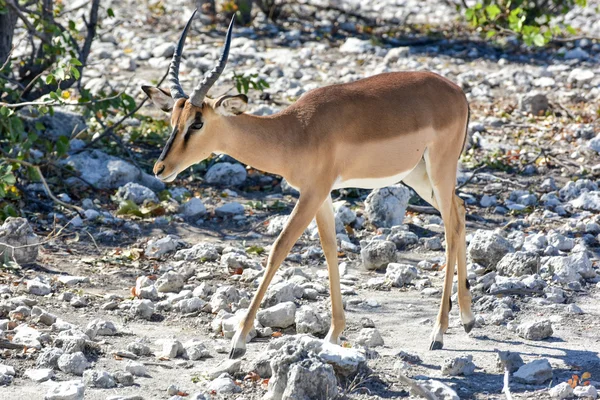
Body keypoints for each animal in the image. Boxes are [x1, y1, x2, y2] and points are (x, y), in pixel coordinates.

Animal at [141, 10, 474, 358]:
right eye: (172, 120)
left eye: (197, 123)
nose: (160, 168)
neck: (294, 131)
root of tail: (458, 92)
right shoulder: (320, 194)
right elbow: (329, 249)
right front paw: (333, 335)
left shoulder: (312, 193)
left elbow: (279, 248)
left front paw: (239, 341)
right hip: (418, 176)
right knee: (460, 209)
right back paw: (467, 319)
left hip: (439, 169)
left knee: (450, 227)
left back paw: (439, 332)